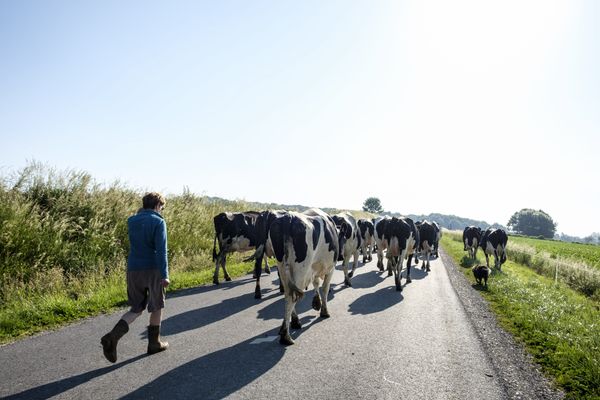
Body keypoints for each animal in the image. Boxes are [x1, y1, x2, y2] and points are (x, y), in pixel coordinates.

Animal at [268, 209, 340, 344]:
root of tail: (289, 217)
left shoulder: (314, 267)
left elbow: (316, 283)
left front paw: (316, 303)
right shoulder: (330, 268)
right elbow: (324, 288)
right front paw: (324, 311)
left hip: (282, 267)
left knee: (288, 293)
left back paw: (292, 323)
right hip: (300, 270)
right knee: (291, 297)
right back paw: (286, 336)